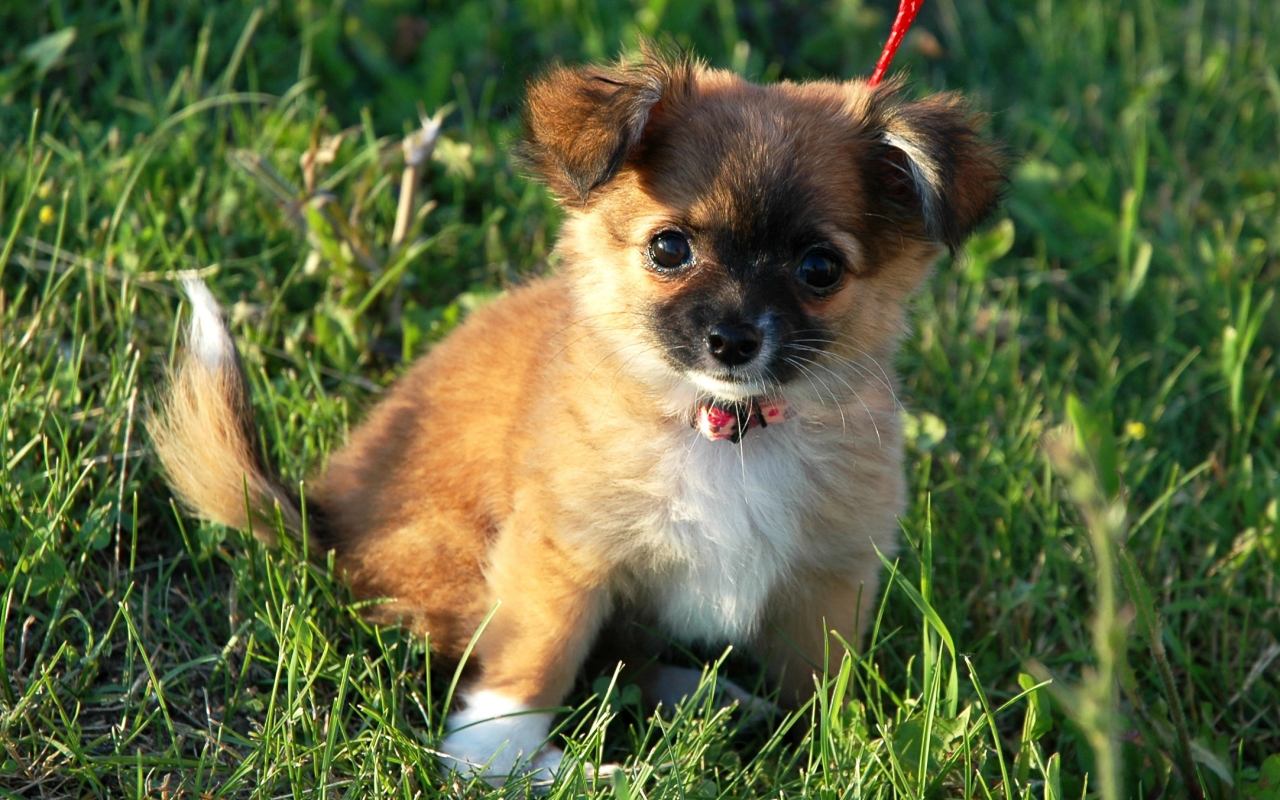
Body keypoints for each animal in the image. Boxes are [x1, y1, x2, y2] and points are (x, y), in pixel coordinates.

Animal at [152, 51, 998, 788]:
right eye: (669, 248)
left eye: (819, 268)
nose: (732, 340)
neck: (721, 429)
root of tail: (320, 523)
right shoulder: (562, 556)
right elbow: (535, 660)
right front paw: (499, 760)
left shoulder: (826, 576)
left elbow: (820, 687)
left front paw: (829, 749)